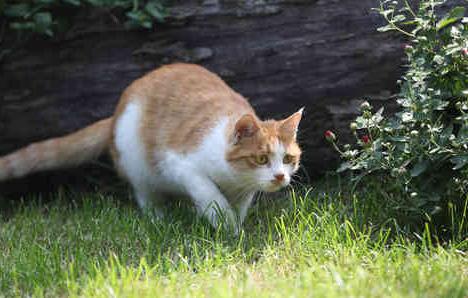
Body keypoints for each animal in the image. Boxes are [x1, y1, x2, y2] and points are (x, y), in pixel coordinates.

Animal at [0, 64, 304, 234]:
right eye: (262, 158)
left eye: (288, 158)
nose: (280, 176)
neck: (233, 176)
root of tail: (115, 115)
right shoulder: (180, 164)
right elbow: (210, 195)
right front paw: (225, 223)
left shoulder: (244, 191)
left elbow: (239, 206)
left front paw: (234, 228)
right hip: (137, 162)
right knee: (145, 193)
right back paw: (159, 219)